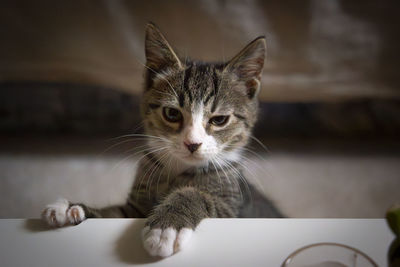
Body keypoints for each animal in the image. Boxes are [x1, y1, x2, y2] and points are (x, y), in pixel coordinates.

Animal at [41, 24, 282, 258]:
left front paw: (167, 226)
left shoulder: (235, 210)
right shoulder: (134, 208)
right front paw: (73, 208)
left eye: (219, 119)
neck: (179, 170)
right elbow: (114, 213)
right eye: (172, 114)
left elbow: (197, 194)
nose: (192, 143)